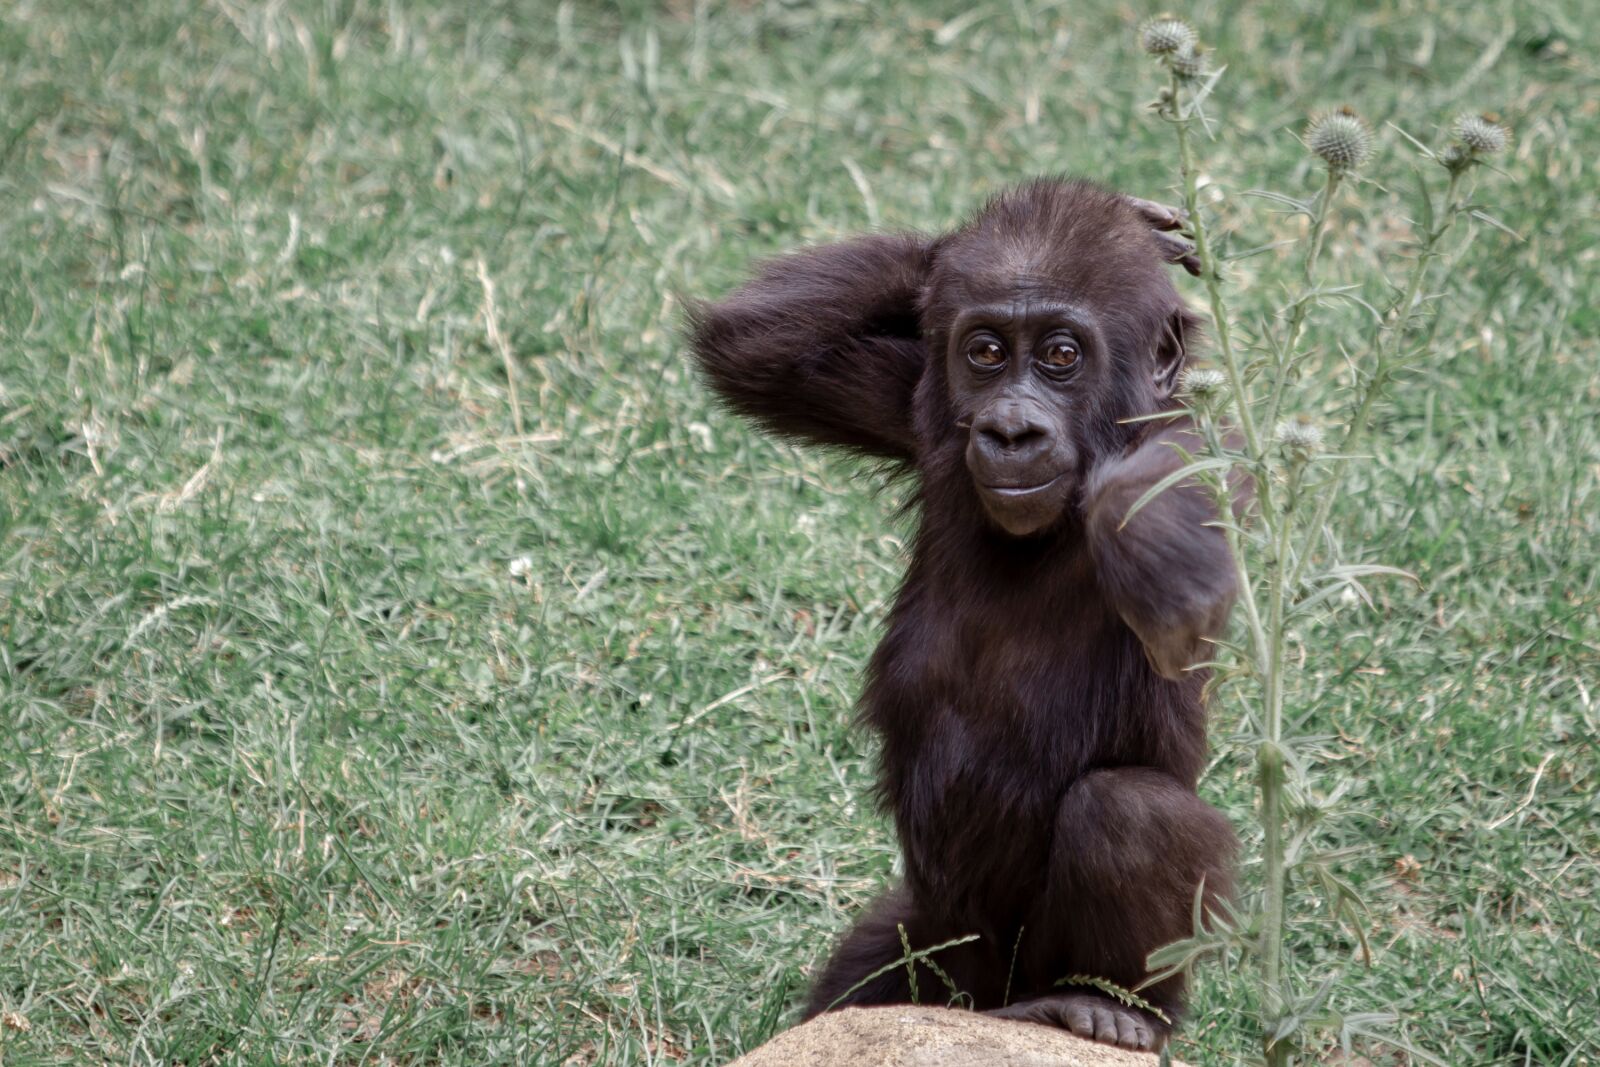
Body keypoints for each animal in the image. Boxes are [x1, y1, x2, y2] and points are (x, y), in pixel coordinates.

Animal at [686, 178, 1239, 1051]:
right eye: (985, 352)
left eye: (1061, 355)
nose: (1011, 428)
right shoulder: (910, 400)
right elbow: (755, 345)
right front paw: (1136, 220)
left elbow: (1180, 577)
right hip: (935, 942)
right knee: (881, 970)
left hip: (1073, 970)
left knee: (1131, 811)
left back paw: (1107, 1004)